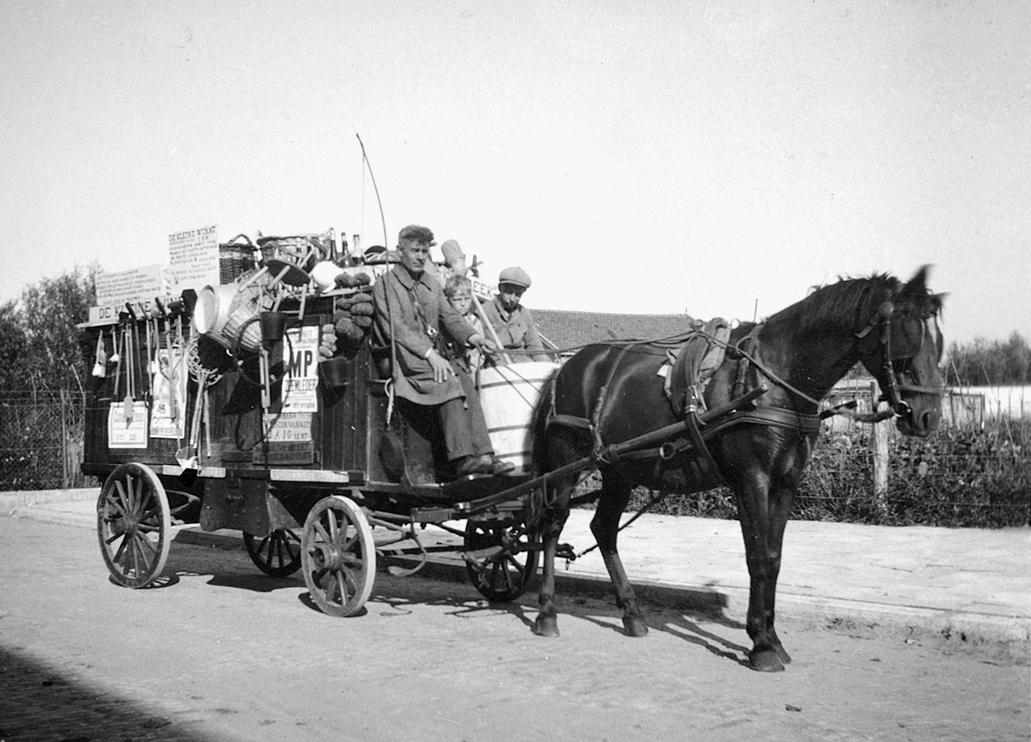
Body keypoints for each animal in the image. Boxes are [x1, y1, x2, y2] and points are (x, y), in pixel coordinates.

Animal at [531, 263, 944, 667]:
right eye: (907, 337)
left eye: (938, 342)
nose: (928, 416)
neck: (775, 376)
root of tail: (567, 368)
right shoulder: (751, 480)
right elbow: (757, 557)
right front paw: (761, 645)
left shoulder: (786, 483)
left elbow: (774, 558)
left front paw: (771, 637)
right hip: (567, 462)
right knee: (552, 526)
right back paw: (547, 613)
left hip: (618, 469)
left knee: (603, 529)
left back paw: (632, 615)